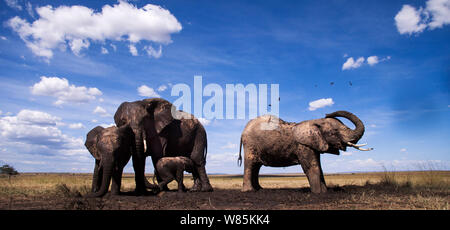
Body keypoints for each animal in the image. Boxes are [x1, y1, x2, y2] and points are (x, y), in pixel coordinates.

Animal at [239, 110, 372, 193]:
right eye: (334, 132)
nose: (327, 113)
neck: (314, 122)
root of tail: (243, 130)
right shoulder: (303, 146)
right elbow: (312, 167)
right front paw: (319, 194)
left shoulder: (314, 144)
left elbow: (319, 167)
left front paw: (325, 192)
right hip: (250, 145)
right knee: (250, 166)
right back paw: (250, 191)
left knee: (256, 167)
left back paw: (259, 189)